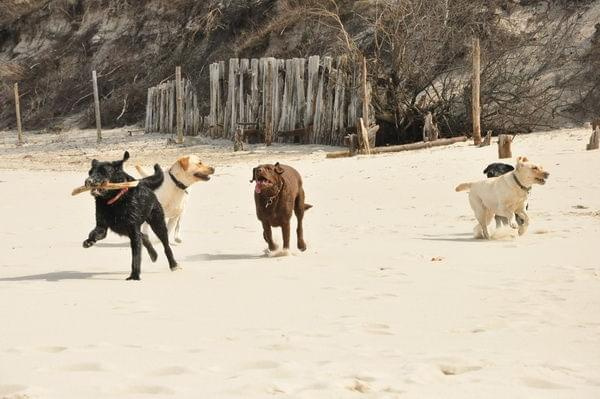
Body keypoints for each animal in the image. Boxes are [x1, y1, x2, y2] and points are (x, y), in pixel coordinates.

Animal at [84, 152, 178, 280]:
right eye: (90, 172)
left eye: (103, 172)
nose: (88, 181)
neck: (115, 200)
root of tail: (142, 182)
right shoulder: (102, 227)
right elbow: (94, 233)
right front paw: (89, 241)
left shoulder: (133, 229)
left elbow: (136, 256)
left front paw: (134, 275)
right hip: (122, 229)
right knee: (144, 236)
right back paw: (153, 255)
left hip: (157, 223)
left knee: (166, 245)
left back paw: (173, 264)